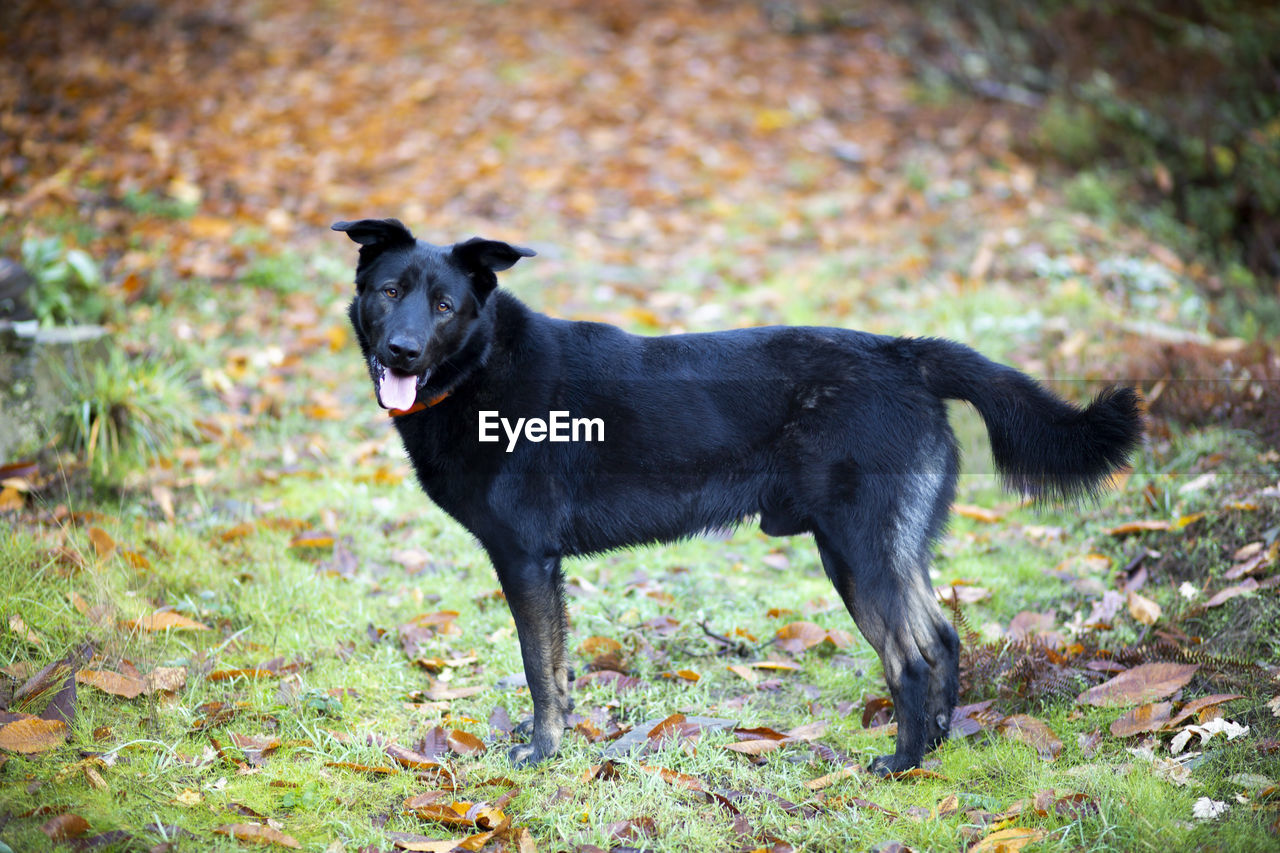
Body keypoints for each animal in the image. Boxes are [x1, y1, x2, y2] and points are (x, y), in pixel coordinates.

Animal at [332, 217, 1141, 768]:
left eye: (444, 306)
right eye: (390, 292)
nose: (402, 351)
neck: (479, 368)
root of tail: (904, 354)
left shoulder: (526, 559)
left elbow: (538, 669)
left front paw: (540, 754)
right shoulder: (542, 568)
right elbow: (558, 669)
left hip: (859, 550)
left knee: (911, 656)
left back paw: (902, 764)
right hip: (872, 551)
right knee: (941, 639)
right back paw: (935, 750)